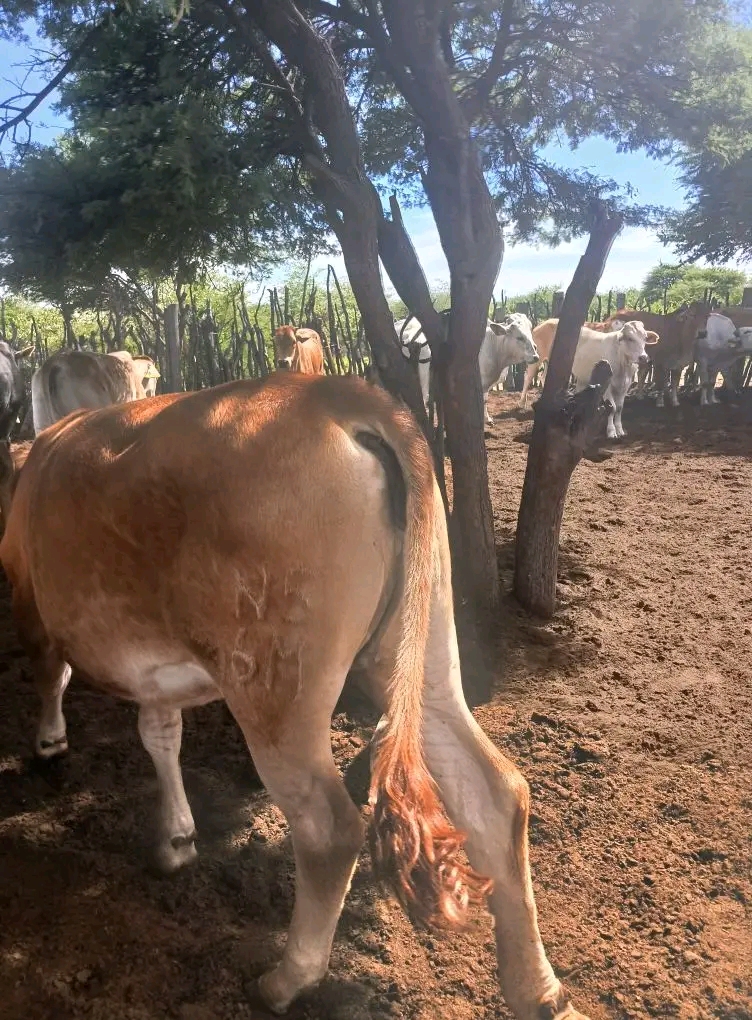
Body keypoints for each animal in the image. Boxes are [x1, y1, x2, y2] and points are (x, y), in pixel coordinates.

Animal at [0, 374, 586, 1020]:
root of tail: (331, 390)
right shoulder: (155, 667)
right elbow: (160, 736)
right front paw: (176, 837)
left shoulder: (28, 598)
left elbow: (51, 674)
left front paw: (49, 743)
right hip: (424, 645)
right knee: (496, 792)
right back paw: (538, 989)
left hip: (276, 687)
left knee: (328, 828)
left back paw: (286, 980)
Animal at [395, 313, 539, 425]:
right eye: (519, 337)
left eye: (530, 332)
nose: (535, 356)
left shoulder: (484, 386)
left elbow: (484, 401)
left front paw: (487, 419)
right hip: (423, 382)